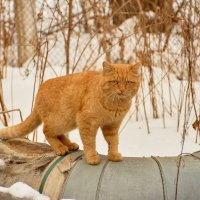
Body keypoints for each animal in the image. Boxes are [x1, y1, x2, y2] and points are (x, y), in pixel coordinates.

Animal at [0, 61, 141, 165]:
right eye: (115, 82)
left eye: (128, 82)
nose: (122, 90)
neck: (116, 104)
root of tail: (39, 91)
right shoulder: (86, 123)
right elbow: (90, 143)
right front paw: (92, 157)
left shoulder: (112, 126)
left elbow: (113, 141)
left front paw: (113, 155)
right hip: (61, 121)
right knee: (46, 131)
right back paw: (60, 148)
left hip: (68, 122)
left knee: (58, 134)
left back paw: (70, 145)